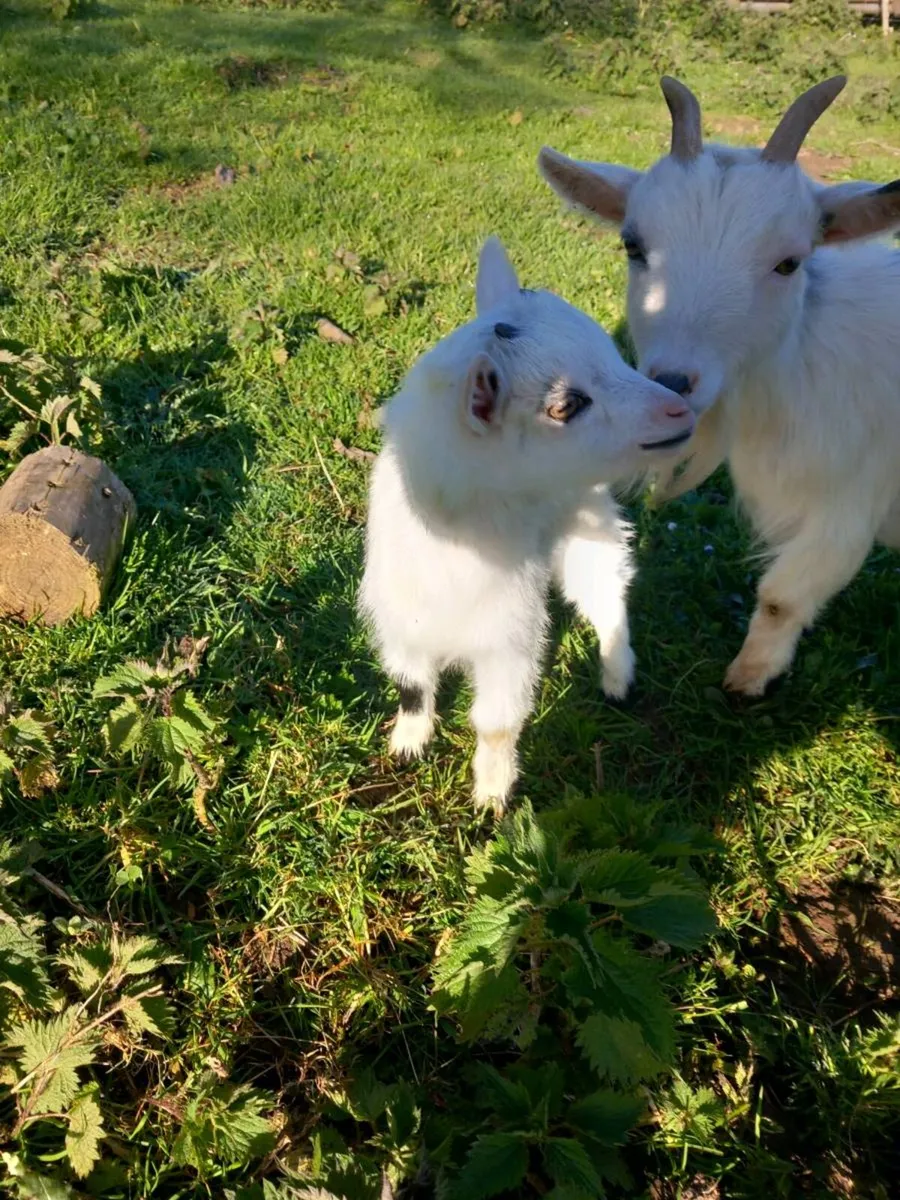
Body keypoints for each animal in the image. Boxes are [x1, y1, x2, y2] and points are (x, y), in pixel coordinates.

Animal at [358, 236, 695, 812]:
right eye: (566, 405)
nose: (680, 410)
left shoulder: (508, 640)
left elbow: (495, 723)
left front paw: (492, 797)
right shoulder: (399, 623)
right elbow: (411, 685)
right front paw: (407, 744)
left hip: (587, 532)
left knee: (608, 596)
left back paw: (617, 677)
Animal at [539, 76, 900, 696]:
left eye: (789, 262)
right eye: (632, 245)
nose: (673, 383)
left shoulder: (853, 495)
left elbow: (782, 596)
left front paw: (749, 679)